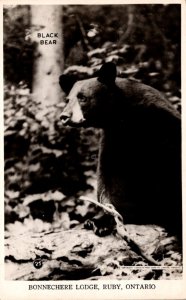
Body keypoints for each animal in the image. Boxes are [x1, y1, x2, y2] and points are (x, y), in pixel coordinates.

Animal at [59, 62, 182, 238]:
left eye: (83, 97)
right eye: (68, 99)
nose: (64, 116)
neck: (122, 115)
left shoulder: (161, 126)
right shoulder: (114, 138)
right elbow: (111, 177)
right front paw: (101, 220)